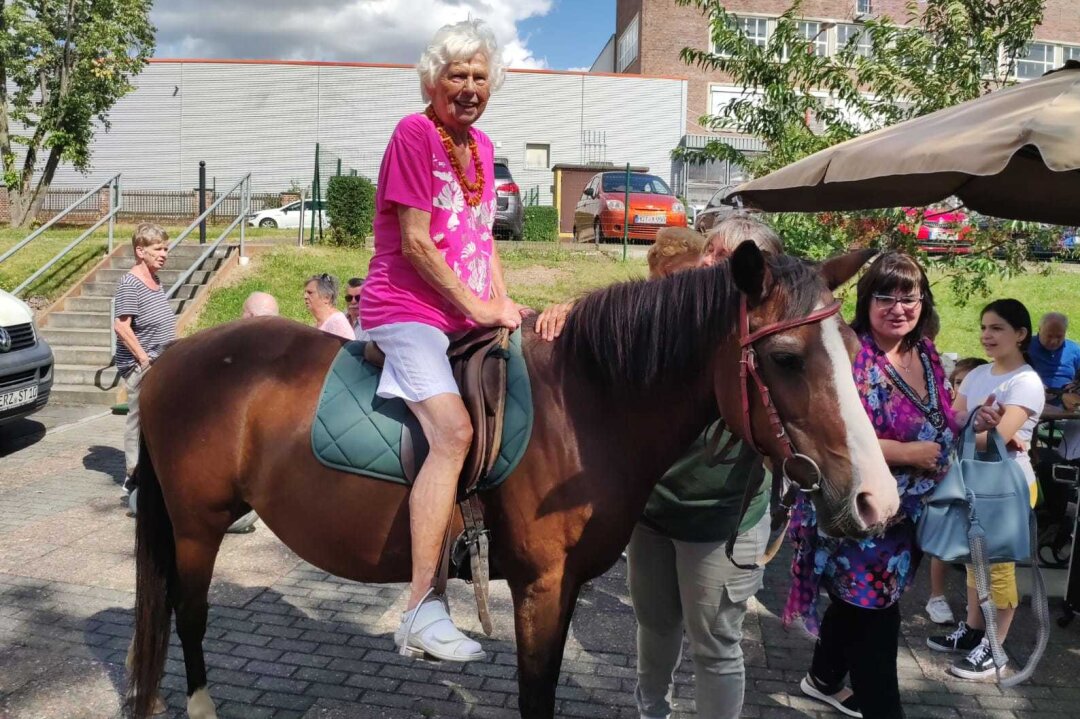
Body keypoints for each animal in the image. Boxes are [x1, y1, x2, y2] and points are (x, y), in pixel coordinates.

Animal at [130, 241, 898, 716]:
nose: (877, 498)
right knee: (190, 615)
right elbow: (535, 693)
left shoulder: (561, 587)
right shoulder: (541, 585)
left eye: (854, 346)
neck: (587, 403)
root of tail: (170, 361)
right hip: (198, 526)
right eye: (787, 357)